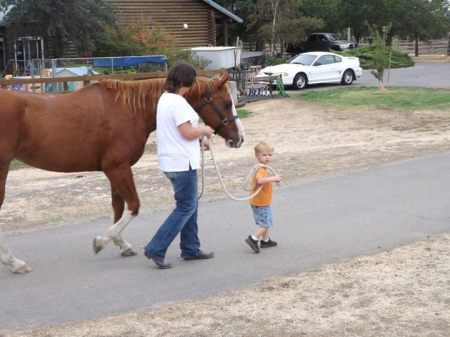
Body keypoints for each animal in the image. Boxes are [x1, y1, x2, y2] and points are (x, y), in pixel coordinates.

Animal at [0, 73, 244, 272]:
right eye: (227, 102)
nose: (239, 138)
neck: (130, 111)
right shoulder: (118, 168)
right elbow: (133, 205)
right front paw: (102, 241)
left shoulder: (113, 170)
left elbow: (118, 207)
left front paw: (120, 243)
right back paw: (14, 262)